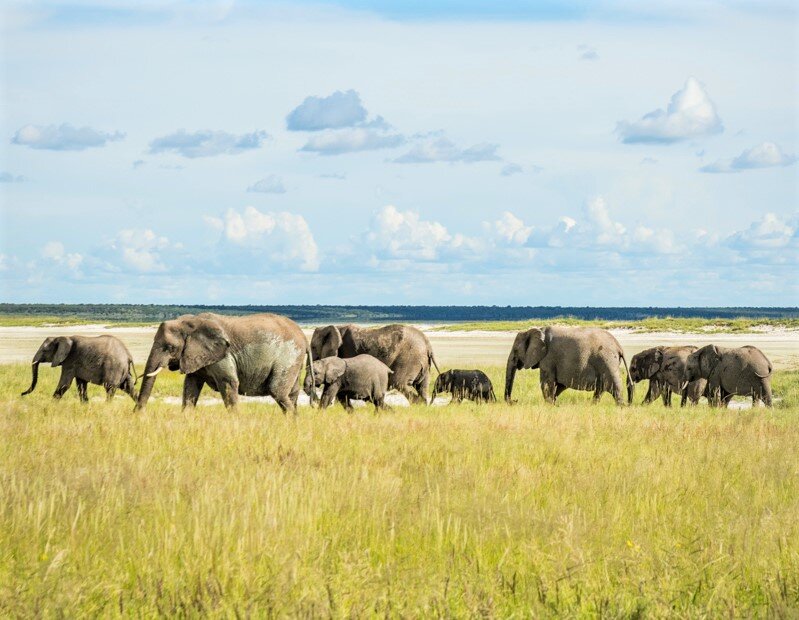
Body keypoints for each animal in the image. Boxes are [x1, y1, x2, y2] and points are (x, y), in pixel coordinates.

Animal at [136, 312, 314, 414]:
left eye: (170, 348)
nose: (138, 415)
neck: (189, 322)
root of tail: (304, 337)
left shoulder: (223, 355)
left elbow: (228, 382)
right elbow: (191, 385)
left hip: (288, 355)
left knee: (277, 391)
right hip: (294, 359)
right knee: (292, 393)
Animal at [310, 322, 440, 404]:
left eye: (312, 347)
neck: (334, 327)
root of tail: (427, 344)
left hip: (409, 358)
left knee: (400, 383)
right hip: (422, 362)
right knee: (422, 387)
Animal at [506, 324, 636, 406]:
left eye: (516, 351)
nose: (514, 401)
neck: (537, 330)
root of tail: (619, 346)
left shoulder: (548, 358)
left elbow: (546, 384)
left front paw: (549, 405)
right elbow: (558, 386)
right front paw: (553, 404)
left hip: (607, 361)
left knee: (614, 387)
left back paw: (621, 407)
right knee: (601, 389)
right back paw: (593, 406)